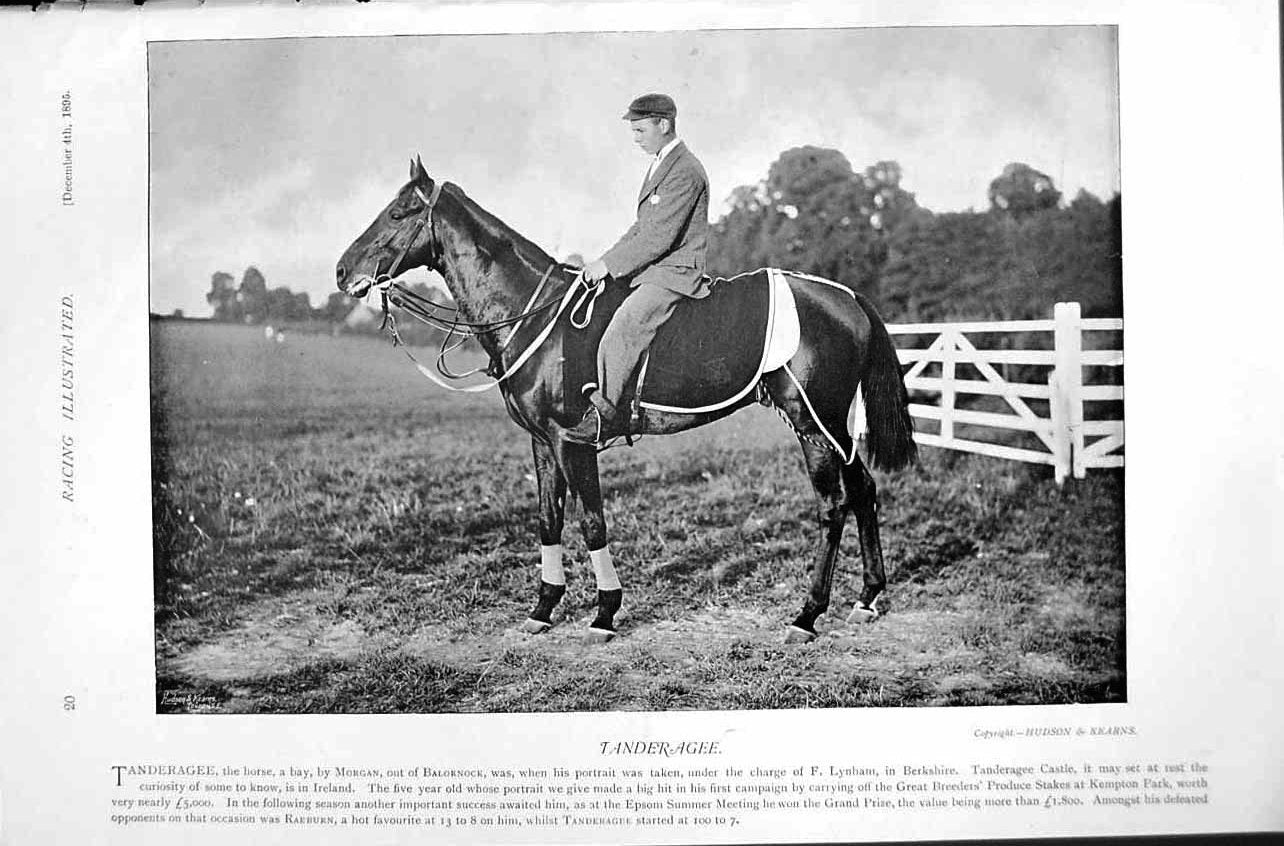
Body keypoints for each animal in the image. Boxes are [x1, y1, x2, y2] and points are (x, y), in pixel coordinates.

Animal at [336, 157, 916, 644]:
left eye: (400, 211)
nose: (343, 272)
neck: (536, 317)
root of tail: (847, 296)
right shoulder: (541, 442)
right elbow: (548, 519)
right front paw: (543, 610)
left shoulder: (573, 441)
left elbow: (592, 522)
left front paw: (604, 612)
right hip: (836, 429)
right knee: (863, 490)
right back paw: (867, 597)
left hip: (814, 425)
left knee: (833, 507)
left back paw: (807, 614)